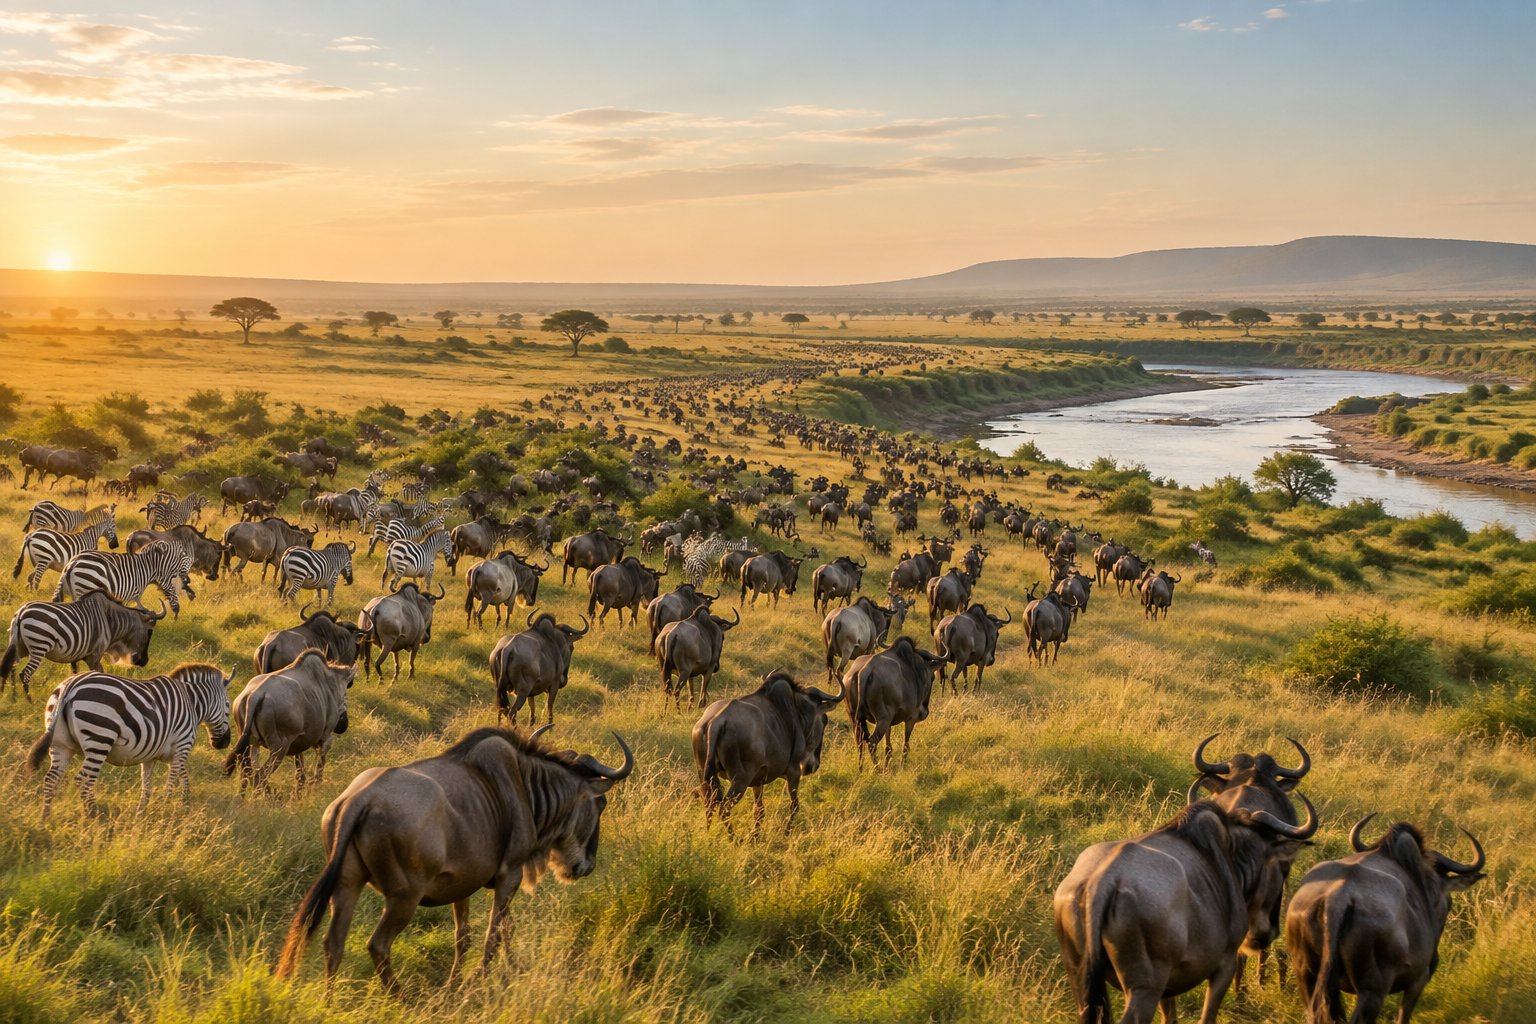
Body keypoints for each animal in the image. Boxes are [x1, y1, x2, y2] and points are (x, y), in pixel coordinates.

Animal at [2, 593, 167, 700]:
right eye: (150, 632)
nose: (144, 661)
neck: (110, 620)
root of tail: (21, 613)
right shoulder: (95, 653)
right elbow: (98, 673)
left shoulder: (81, 655)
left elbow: (77, 673)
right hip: (39, 647)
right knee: (24, 673)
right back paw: (29, 700)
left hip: (20, 647)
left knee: (12, 667)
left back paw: (13, 697)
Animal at [26, 663, 234, 820]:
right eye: (228, 706)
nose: (223, 743)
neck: (192, 703)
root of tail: (71, 684)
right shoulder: (183, 745)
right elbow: (173, 780)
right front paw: (166, 807)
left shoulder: (154, 755)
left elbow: (152, 784)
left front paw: (147, 811)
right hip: (99, 738)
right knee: (83, 779)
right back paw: (94, 815)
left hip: (60, 743)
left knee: (52, 778)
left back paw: (45, 818)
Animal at [52, 541, 195, 618]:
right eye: (174, 583)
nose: (177, 612)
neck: (146, 568)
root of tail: (71, 565)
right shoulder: (127, 593)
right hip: (85, 589)